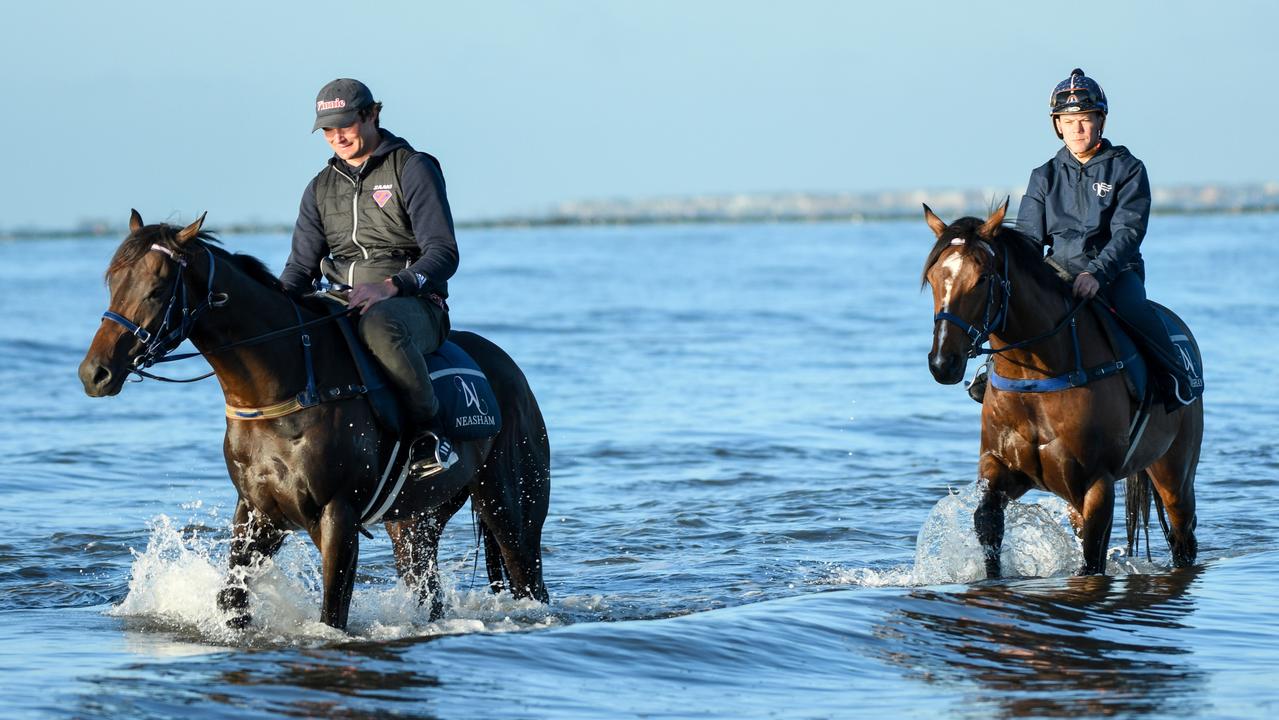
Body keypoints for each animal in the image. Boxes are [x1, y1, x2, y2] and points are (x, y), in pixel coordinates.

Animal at [76, 211, 549, 629]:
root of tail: (512, 373)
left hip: (511, 507)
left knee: (529, 581)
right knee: (428, 591)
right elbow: (232, 599)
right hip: (414, 523)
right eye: (113, 282)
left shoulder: (337, 515)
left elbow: (332, 614)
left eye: (157, 289)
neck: (286, 390)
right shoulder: (257, 512)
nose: (95, 373)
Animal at [920, 199, 1197, 578]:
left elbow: (1093, 558)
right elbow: (987, 524)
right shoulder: (1002, 469)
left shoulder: (1097, 483)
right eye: (934, 278)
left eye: (982, 279)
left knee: (1183, 534)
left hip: (1174, 474)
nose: (942, 363)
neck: (1035, 379)